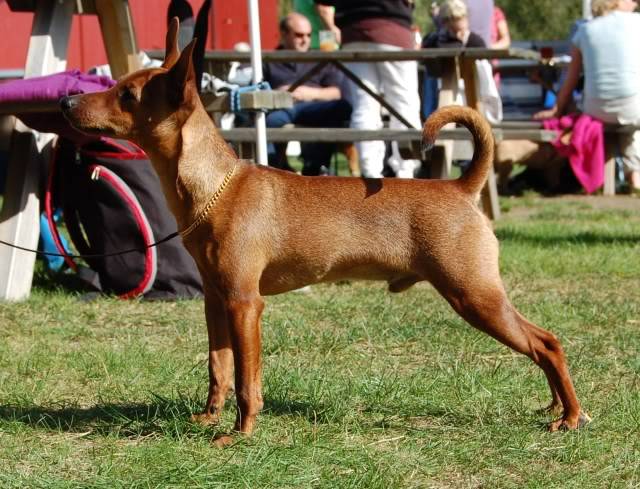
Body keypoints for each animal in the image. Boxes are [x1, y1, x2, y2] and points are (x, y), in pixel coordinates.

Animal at [63, 19, 592, 444]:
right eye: (118, 85)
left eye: (128, 96)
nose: (68, 100)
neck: (214, 186)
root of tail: (461, 186)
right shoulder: (216, 301)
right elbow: (220, 367)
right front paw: (209, 419)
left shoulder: (245, 304)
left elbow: (247, 379)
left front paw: (240, 434)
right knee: (542, 344)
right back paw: (558, 407)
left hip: (474, 294)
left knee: (547, 342)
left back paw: (570, 415)